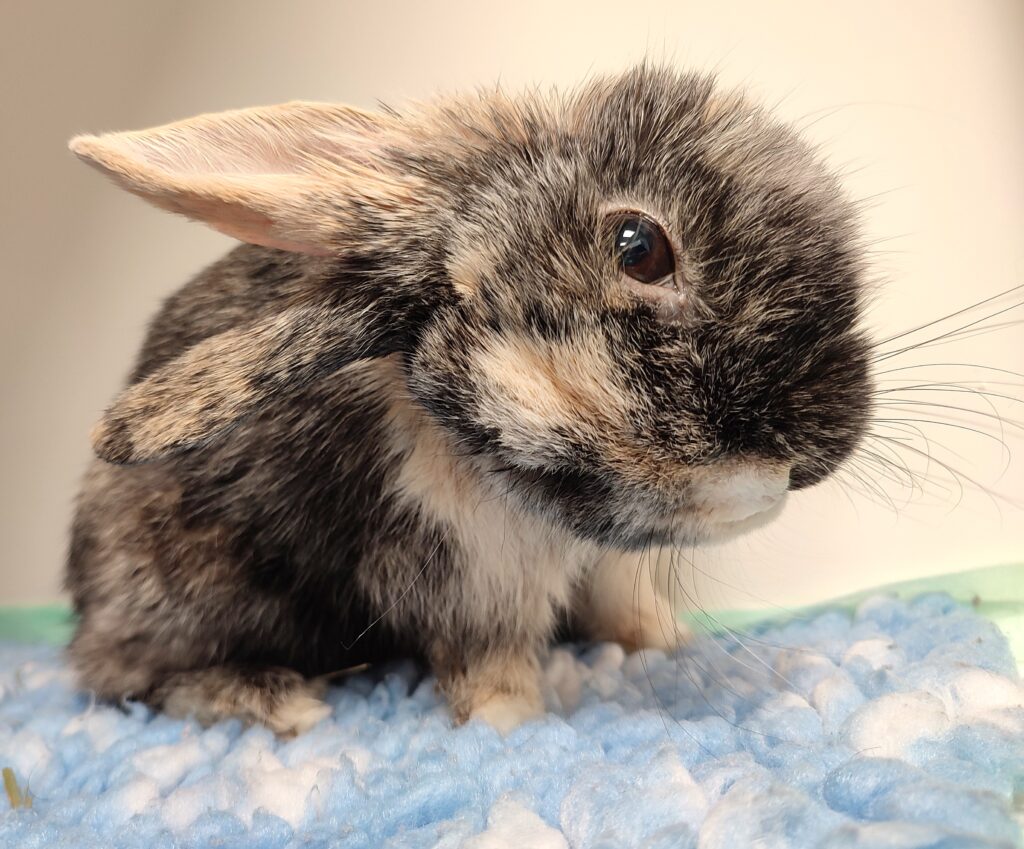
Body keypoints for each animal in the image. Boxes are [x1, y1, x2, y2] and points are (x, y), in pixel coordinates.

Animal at [64, 66, 872, 735]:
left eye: (635, 244)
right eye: (549, 466)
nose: (764, 483)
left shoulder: (601, 563)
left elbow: (625, 602)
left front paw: (666, 641)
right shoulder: (473, 579)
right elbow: (488, 662)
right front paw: (510, 728)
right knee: (118, 679)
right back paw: (274, 701)